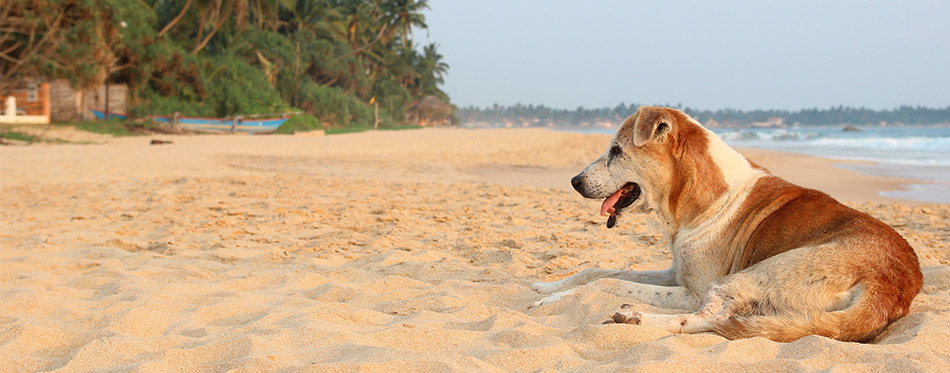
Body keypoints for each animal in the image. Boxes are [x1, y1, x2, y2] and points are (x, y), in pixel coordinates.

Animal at [532, 106, 924, 342]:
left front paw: (555, 298)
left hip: (745, 278)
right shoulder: (675, 273)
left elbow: (606, 282)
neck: (693, 196)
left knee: (707, 318)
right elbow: (597, 271)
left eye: (616, 151)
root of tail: (891, 288)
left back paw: (636, 318)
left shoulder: (691, 290)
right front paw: (548, 286)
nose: (574, 182)